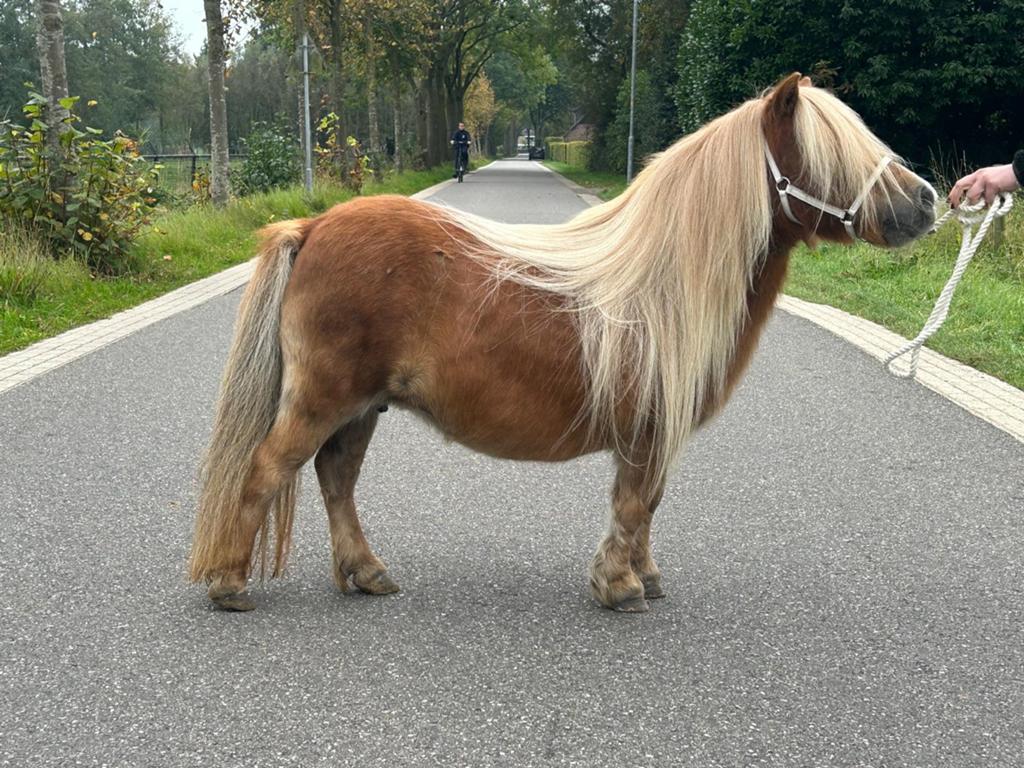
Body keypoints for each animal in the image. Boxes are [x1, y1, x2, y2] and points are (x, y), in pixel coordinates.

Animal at [188, 74, 937, 613]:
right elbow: (634, 503)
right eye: (836, 152)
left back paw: (366, 573)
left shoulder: (651, 435)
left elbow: (648, 505)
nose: (928, 200)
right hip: (323, 400)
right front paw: (620, 587)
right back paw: (230, 584)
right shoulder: (645, 432)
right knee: (267, 469)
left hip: (360, 408)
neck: (663, 280)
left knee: (335, 477)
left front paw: (643, 575)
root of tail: (313, 226)